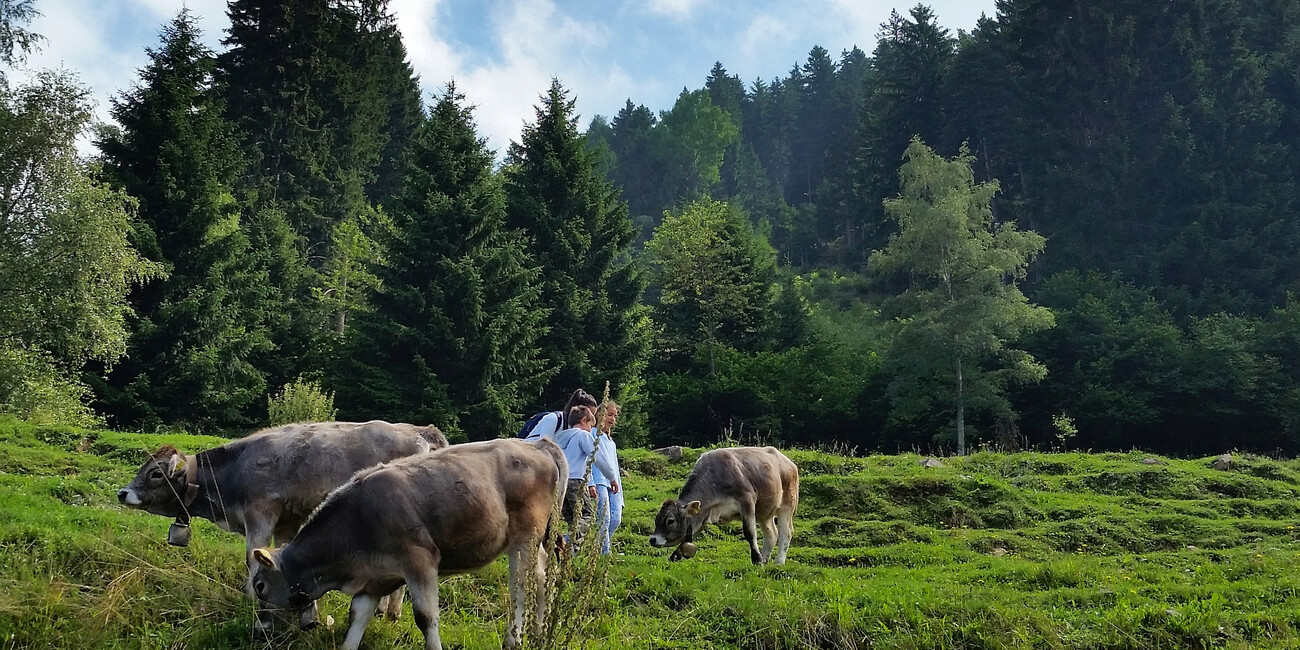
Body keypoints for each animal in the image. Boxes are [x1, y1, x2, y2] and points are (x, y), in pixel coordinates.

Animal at [118, 421, 452, 629]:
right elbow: (275, 556)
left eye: (156, 473)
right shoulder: (285, 525)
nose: (122, 493)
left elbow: (251, 557)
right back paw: (387, 611)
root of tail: (422, 431)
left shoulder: (261, 513)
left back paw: (391, 612)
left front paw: (251, 598)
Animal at [248, 436, 564, 650]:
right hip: (535, 541)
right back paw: (539, 631)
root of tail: (538, 444)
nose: (258, 628)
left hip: (524, 536)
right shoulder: (374, 578)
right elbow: (356, 616)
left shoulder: (419, 561)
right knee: (540, 577)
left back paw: (514, 639)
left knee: (520, 586)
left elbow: (425, 617)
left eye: (260, 586)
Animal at [647, 447, 795, 564]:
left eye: (670, 521)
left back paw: (778, 562)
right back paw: (765, 559)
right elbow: (690, 537)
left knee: (786, 533)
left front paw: (756, 560)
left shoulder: (747, 500)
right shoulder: (704, 512)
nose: (653, 539)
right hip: (765, 511)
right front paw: (675, 556)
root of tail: (788, 461)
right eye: (656, 519)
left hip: (787, 504)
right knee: (771, 534)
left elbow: (749, 532)